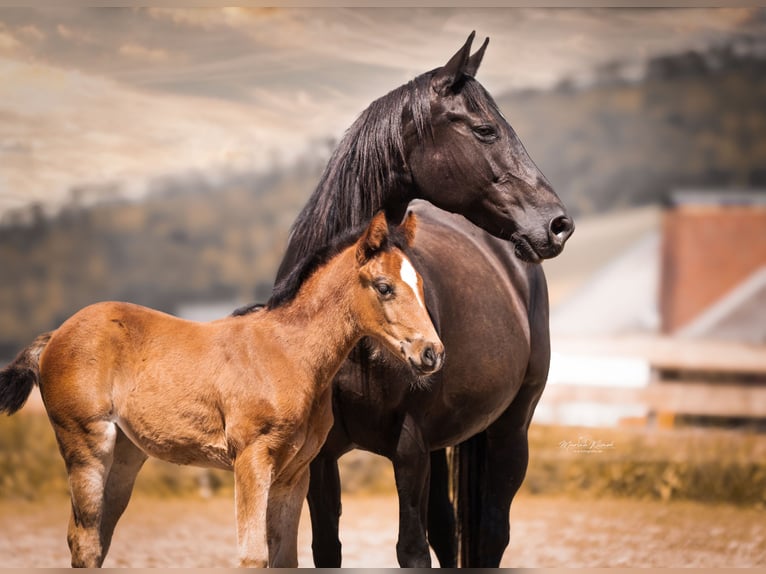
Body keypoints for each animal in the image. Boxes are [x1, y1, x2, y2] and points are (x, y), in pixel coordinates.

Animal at [0, 212, 444, 568]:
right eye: (384, 287)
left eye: (421, 284)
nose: (432, 352)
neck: (289, 353)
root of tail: (56, 335)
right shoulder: (251, 459)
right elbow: (253, 555)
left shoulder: (294, 473)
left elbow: (285, 558)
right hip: (87, 445)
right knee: (85, 539)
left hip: (125, 457)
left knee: (97, 539)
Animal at [251, 32, 574, 567]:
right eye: (485, 130)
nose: (557, 225)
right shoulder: (319, 455)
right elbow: (327, 547)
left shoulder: (409, 447)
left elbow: (411, 549)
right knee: (448, 527)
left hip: (510, 432)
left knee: (491, 535)